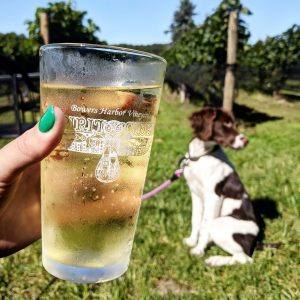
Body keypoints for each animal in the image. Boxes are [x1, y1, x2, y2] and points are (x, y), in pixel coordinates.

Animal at [182, 106, 258, 266]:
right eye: (226, 123)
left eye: (233, 123)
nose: (246, 141)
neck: (201, 156)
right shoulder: (195, 193)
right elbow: (195, 220)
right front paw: (192, 242)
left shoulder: (213, 196)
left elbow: (204, 225)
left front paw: (198, 250)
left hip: (219, 224)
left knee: (244, 258)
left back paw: (215, 260)